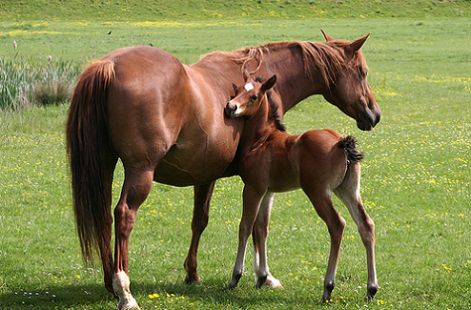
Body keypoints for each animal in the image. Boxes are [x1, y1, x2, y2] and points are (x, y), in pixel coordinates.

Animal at [226, 74, 380, 302]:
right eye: (237, 91)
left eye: (253, 96)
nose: (230, 107)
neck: (262, 140)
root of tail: (341, 143)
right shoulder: (268, 192)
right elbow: (262, 228)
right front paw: (262, 277)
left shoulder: (253, 188)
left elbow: (245, 226)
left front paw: (235, 277)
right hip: (348, 191)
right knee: (366, 225)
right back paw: (371, 288)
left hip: (318, 192)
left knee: (337, 224)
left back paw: (328, 287)